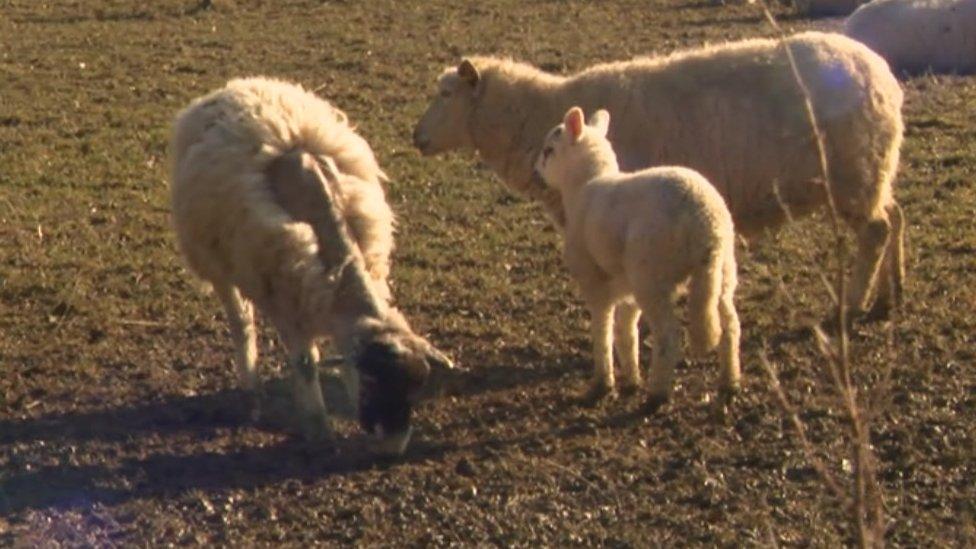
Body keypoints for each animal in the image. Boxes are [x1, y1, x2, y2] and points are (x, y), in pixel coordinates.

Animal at [172, 77, 454, 454]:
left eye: (415, 390)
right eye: (372, 382)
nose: (392, 448)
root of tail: (237, 85)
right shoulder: (287, 302)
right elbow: (306, 364)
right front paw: (318, 428)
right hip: (216, 260)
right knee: (241, 322)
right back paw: (251, 387)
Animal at [412, 31, 908, 322]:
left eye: (446, 93)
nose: (416, 137)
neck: (536, 116)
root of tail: (882, 74)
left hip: (853, 176)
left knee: (876, 231)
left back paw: (852, 304)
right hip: (874, 170)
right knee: (896, 217)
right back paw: (890, 296)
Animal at [532, 106, 740, 406]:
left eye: (549, 150)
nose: (535, 175)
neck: (585, 184)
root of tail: (705, 223)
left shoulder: (594, 279)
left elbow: (602, 328)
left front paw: (602, 383)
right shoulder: (625, 283)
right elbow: (627, 329)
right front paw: (631, 378)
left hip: (651, 273)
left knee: (668, 336)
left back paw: (657, 394)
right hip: (722, 270)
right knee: (730, 325)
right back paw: (729, 382)